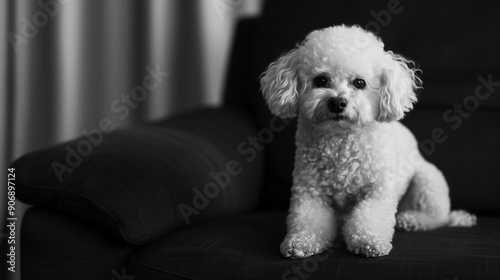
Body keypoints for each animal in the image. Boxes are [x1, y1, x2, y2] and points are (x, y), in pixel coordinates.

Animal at [262, 25, 476, 258]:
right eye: (320, 80)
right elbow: (308, 221)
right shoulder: (310, 192)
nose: (337, 102)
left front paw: (368, 241)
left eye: (359, 83)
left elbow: (371, 216)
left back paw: (411, 220)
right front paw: (301, 241)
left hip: (428, 180)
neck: (340, 140)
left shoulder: (378, 190)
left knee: (436, 217)